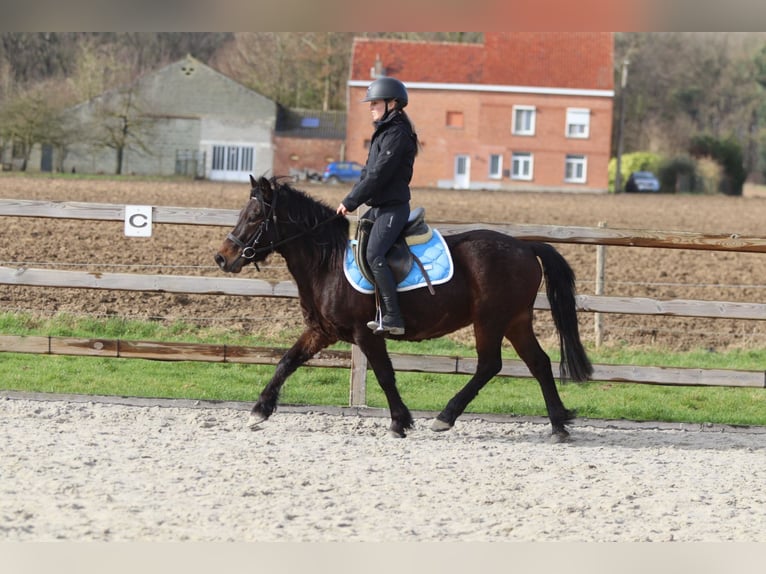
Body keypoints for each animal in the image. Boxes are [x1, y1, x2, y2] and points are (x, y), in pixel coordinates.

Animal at [215, 175, 593, 441]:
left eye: (255, 216)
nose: (222, 257)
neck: (328, 262)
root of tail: (526, 247)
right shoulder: (321, 331)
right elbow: (287, 361)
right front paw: (260, 409)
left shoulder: (365, 333)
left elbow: (384, 374)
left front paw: (400, 421)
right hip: (516, 320)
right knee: (538, 363)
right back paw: (559, 423)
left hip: (490, 320)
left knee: (490, 365)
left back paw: (445, 417)